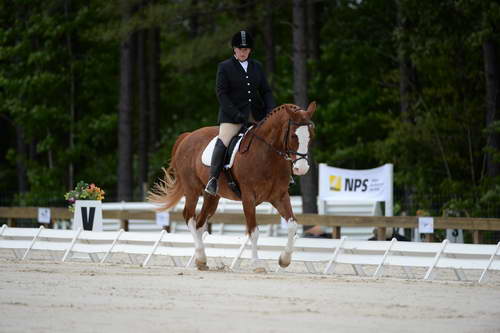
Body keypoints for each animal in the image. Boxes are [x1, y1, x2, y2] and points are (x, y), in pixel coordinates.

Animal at [148, 101, 318, 270]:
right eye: (293, 136)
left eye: (310, 136)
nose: (302, 168)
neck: (267, 155)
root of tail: (187, 136)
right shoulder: (248, 198)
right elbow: (253, 231)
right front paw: (257, 264)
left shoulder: (280, 196)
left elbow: (292, 225)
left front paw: (284, 260)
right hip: (192, 190)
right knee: (189, 217)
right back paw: (201, 256)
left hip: (212, 197)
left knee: (200, 224)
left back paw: (201, 261)